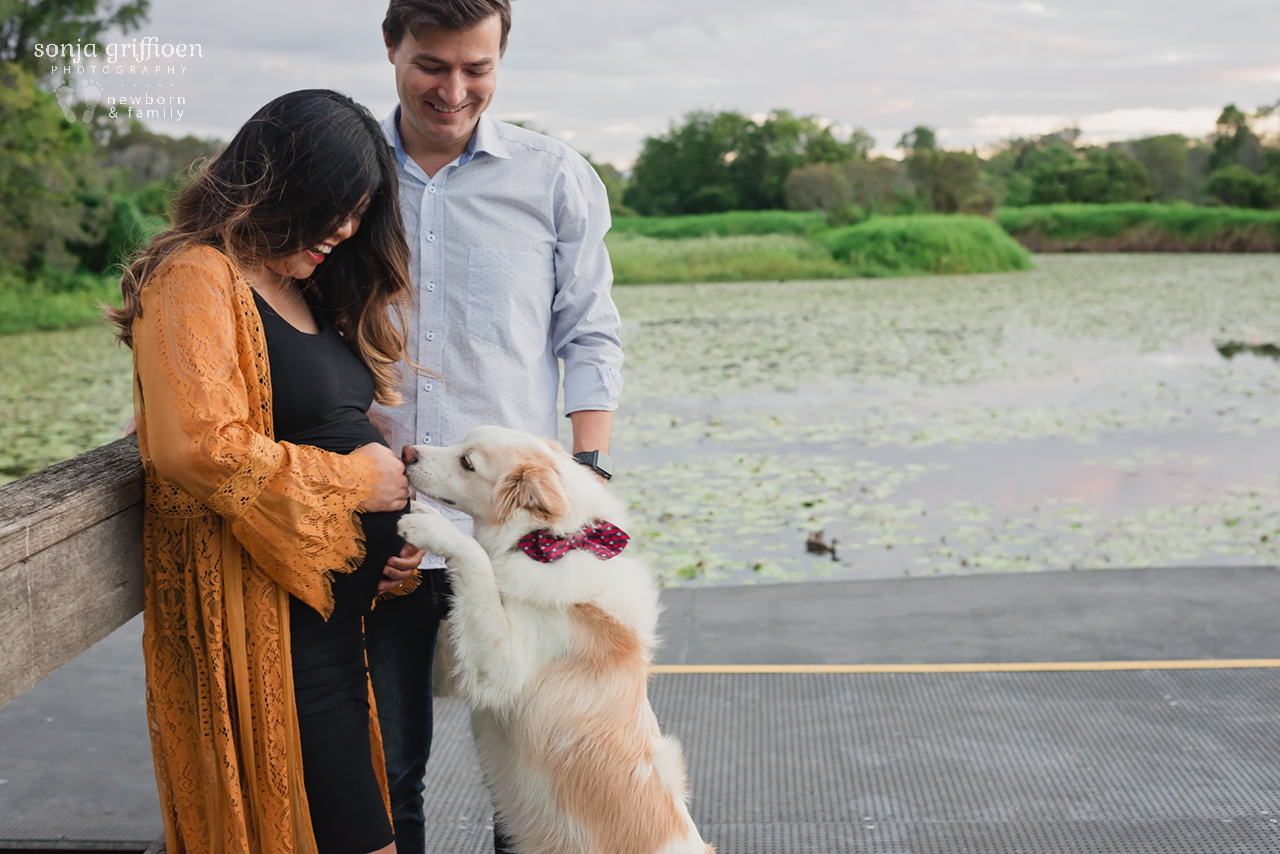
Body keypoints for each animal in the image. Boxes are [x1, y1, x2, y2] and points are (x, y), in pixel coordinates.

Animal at [396, 427, 711, 854]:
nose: (406, 452)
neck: (546, 540)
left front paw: (433, 529)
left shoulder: (503, 669)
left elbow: (476, 561)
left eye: (467, 462)